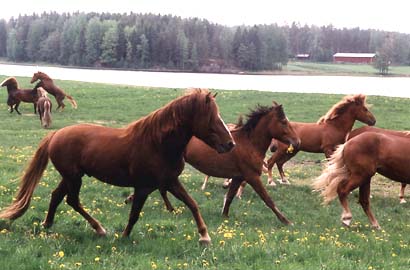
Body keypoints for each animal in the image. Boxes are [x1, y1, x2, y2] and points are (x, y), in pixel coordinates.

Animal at [0, 89, 234, 245]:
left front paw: (204, 236)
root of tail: (56, 134)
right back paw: (99, 229)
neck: (157, 144)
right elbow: (134, 214)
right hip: (74, 178)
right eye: (212, 117)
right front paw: (124, 237)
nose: (230, 144)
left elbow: (192, 204)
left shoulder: (170, 182)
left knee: (57, 196)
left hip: (70, 177)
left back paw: (48, 224)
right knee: (71, 200)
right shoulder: (143, 187)